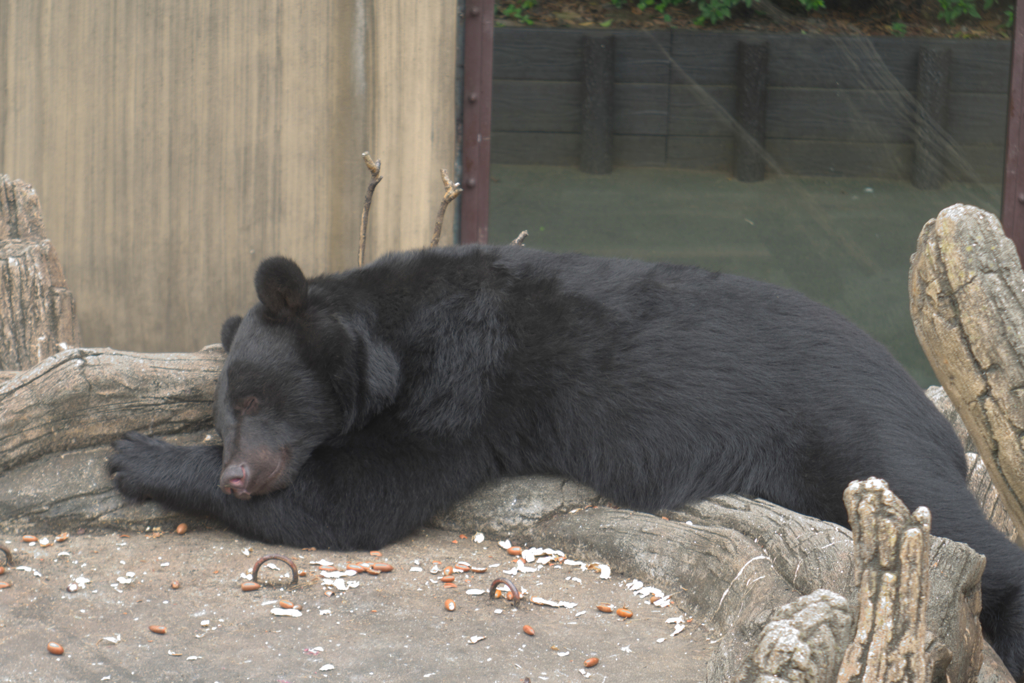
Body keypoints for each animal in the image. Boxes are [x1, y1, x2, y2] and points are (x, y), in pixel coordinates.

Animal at [108, 246, 1024, 679]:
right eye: (229, 411)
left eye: (259, 400)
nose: (239, 475)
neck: (391, 339)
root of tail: (930, 410)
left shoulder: (461, 382)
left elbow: (360, 498)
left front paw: (136, 455)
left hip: (863, 442)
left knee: (973, 539)